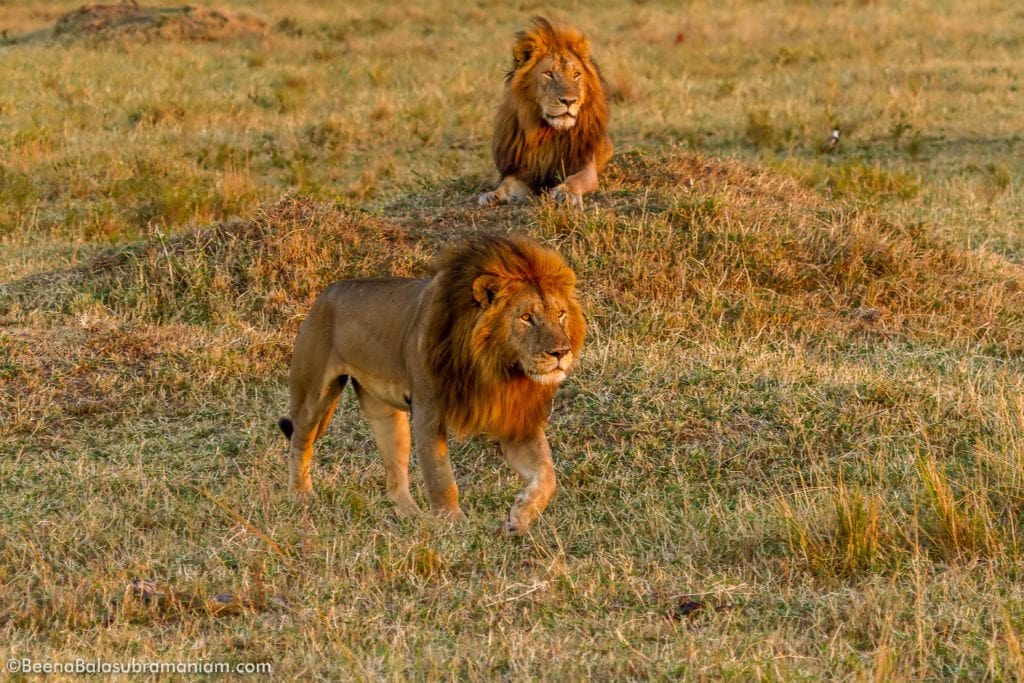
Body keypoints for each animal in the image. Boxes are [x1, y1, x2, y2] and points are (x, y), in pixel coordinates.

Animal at [278, 233, 585, 532]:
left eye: (560, 314)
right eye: (526, 317)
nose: (561, 352)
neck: (498, 369)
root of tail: (326, 293)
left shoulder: (515, 419)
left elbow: (548, 473)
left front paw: (520, 517)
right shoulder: (428, 410)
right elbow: (440, 477)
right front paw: (453, 525)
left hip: (387, 415)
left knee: (394, 478)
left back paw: (412, 519)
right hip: (313, 393)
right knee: (299, 443)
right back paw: (301, 496)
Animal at [477, 16, 610, 208]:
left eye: (576, 74)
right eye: (549, 73)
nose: (569, 101)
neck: (548, 132)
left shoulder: (585, 165)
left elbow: (576, 179)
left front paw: (564, 193)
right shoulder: (524, 170)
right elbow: (507, 183)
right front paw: (493, 195)